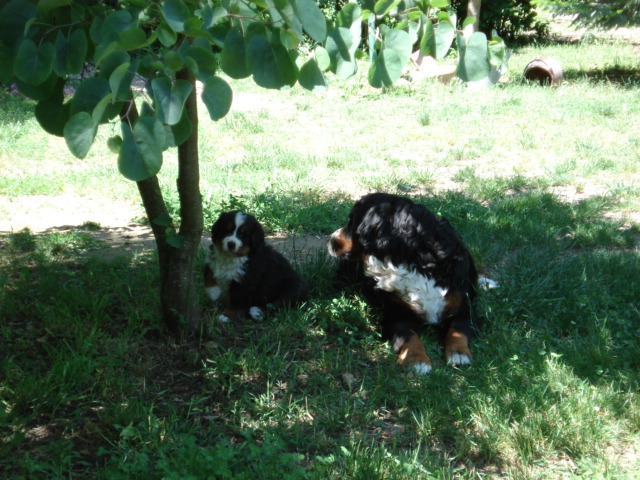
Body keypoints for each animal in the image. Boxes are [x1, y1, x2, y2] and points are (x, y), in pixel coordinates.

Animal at [328, 193, 482, 374]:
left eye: (352, 221)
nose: (330, 239)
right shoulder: (397, 313)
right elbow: (409, 336)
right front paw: (417, 360)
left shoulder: (465, 308)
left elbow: (457, 329)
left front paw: (459, 354)